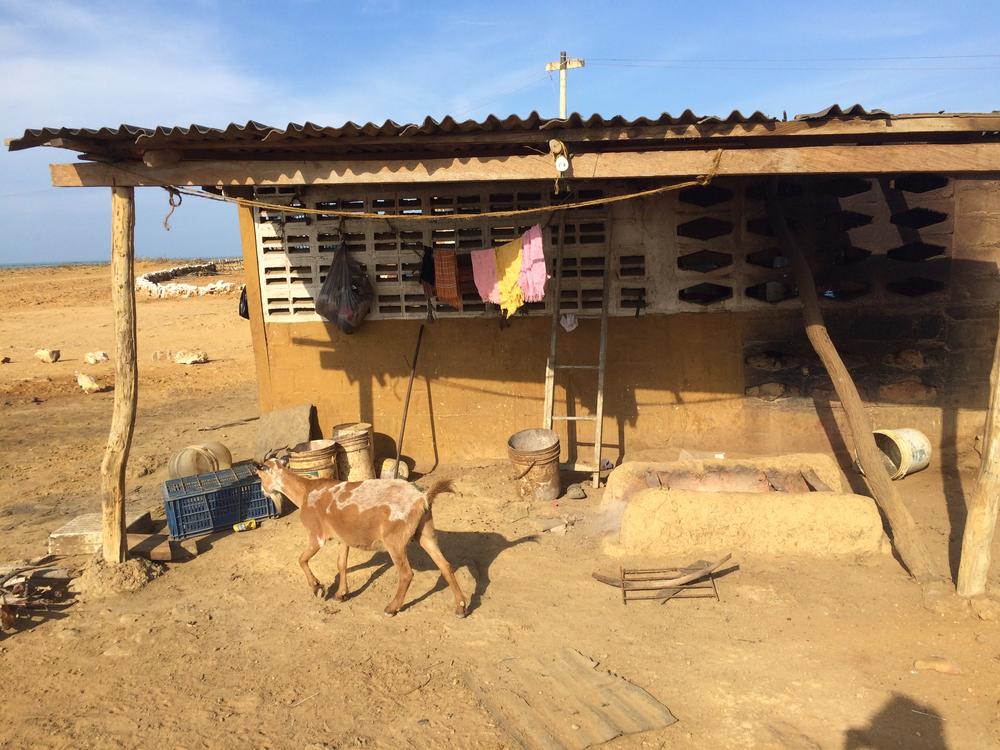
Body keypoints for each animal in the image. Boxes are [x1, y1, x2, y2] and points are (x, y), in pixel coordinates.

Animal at [254, 468, 464, 620]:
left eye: (260, 476)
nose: (263, 491)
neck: (305, 491)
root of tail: (422, 498)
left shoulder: (316, 535)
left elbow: (301, 559)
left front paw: (318, 588)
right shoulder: (343, 537)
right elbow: (341, 564)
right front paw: (341, 594)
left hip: (394, 541)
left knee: (406, 574)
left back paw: (392, 608)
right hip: (426, 533)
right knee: (445, 566)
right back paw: (461, 607)